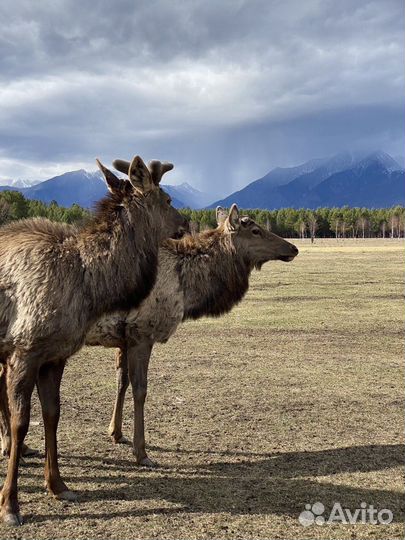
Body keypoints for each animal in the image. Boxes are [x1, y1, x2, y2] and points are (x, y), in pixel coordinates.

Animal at [0, 154, 187, 524]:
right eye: (168, 199)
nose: (186, 224)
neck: (88, 287)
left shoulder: (55, 355)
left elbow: (52, 415)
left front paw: (58, 485)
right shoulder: (23, 350)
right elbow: (21, 422)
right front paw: (10, 504)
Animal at [83, 205, 298, 466]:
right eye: (256, 230)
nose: (293, 248)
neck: (186, 291)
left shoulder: (123, 337)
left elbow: (120, 381)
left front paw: (115, 433)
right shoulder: (142, 333)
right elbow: (140, 389)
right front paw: (142, 452)